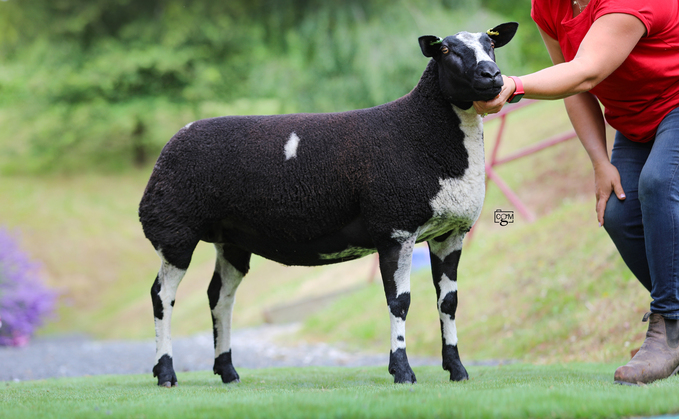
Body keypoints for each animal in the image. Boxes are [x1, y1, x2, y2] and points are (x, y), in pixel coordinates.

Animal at [139, 21, 520, 386]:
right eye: (445, 50)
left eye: (490, 43)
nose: (492, 75)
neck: (422, 132)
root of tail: (174, 139)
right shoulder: (394, 227)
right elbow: (399, 302)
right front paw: (402, 372)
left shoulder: (450, 232)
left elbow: (449, 302)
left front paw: (457, 369)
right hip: (174, 228)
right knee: (162, 296)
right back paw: (166, 373)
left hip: (230, 239)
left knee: (220, 298)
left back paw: (227, 372)